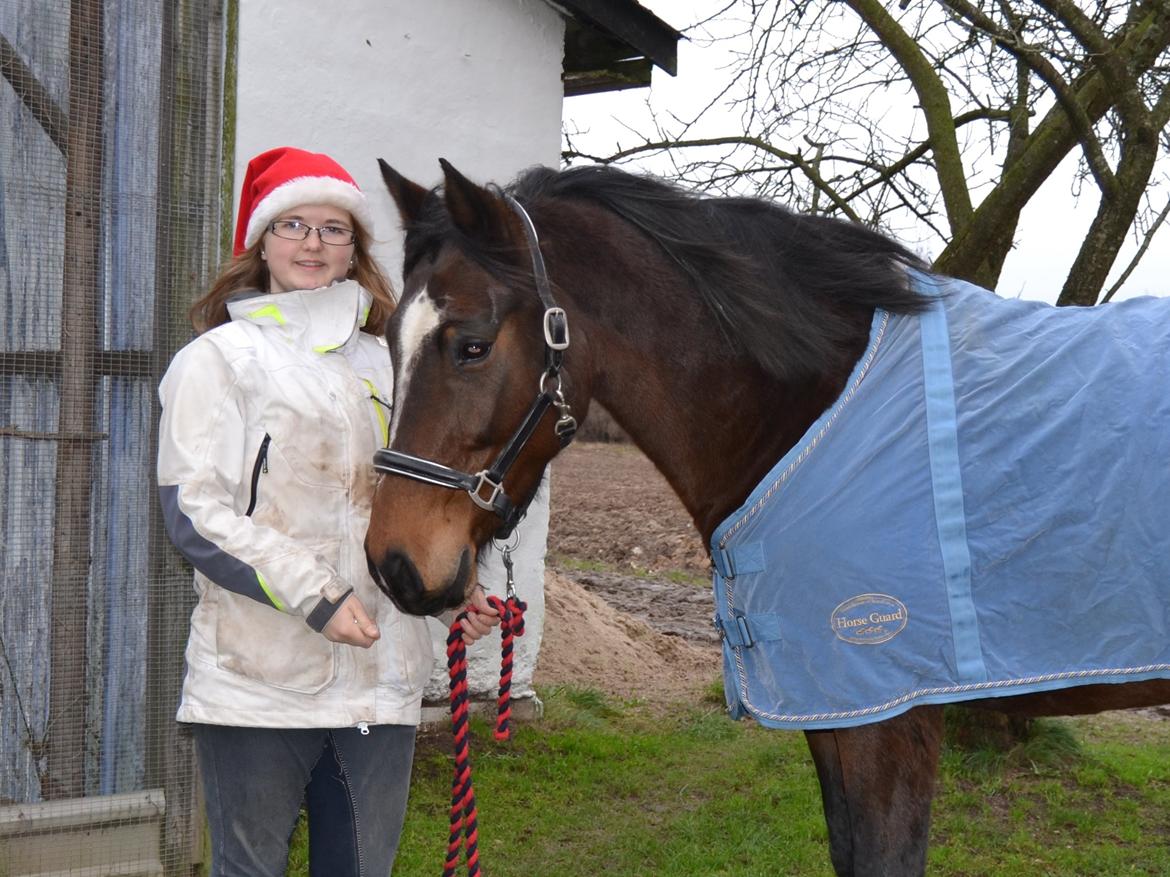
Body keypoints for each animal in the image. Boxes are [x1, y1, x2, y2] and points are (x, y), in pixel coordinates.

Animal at [365, 160, 1170, 877]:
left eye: (472, 345)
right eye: (389, 340)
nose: (393, 565)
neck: (814, 409)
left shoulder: (889, 711)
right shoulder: (833, 706)